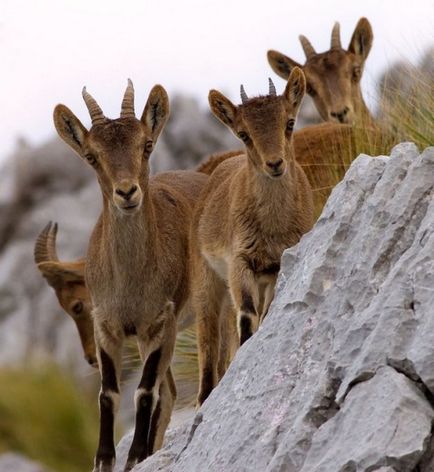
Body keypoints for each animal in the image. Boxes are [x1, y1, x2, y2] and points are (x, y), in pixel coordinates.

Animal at [53, 82, 209, 472]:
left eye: (147, 145)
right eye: (91, 156)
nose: (126, 192)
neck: (129, 283)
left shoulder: (160, 323)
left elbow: (144, 390)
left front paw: (136, 455)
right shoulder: (107, 326)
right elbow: (108, 394)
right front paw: (104, 460)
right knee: (170, 390)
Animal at [192, 69, 314, 406]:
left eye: (289, 122)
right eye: (243, 133)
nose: (275, 164)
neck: (272, 228)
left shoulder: (277, 266)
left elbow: (265, 313)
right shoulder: (240, 260)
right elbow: (247, 316)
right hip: (206, 277)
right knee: (208, 335)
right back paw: (205, 395)